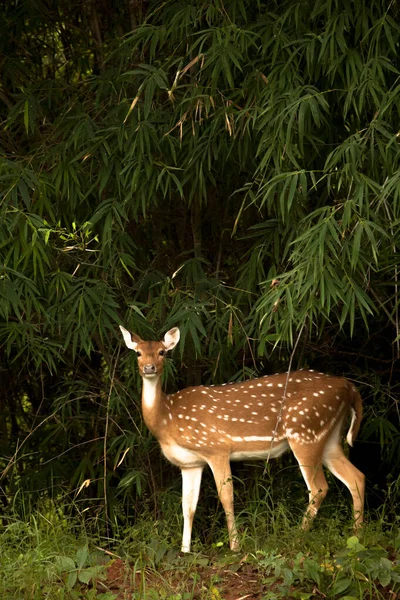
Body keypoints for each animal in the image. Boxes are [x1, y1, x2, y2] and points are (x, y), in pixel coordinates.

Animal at [119, 326, 366, 552]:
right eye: (138, 353)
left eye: (162, 352)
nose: (149, 368)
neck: (167, 419)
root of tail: (349, 387)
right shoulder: (190, 463)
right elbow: (188, 506)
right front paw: (185, 551)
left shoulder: (216, 448)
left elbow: (226, 496)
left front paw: (235, 546)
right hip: (328, 437)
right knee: (356, 477)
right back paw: (356, 536)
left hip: (305, 432)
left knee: (319, 488)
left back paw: (297, 538)